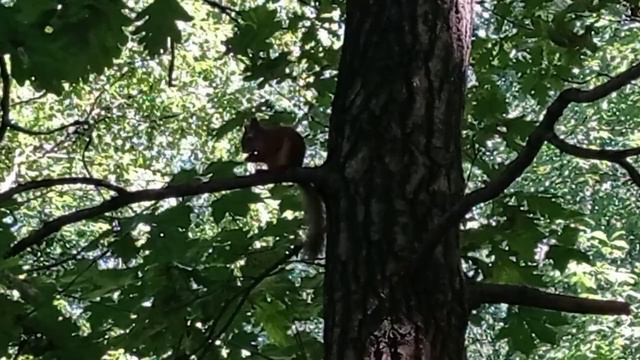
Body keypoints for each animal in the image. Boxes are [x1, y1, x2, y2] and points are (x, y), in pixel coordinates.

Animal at [242, 116, 328, 258]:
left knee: (281, 165)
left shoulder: (273, 143)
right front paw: (250, 158)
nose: (242, 150)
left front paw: (252, 157)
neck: (263, 137)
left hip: (289, 152)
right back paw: (263, 171)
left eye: (249, 138)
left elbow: (267, 152)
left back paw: (279, 168)